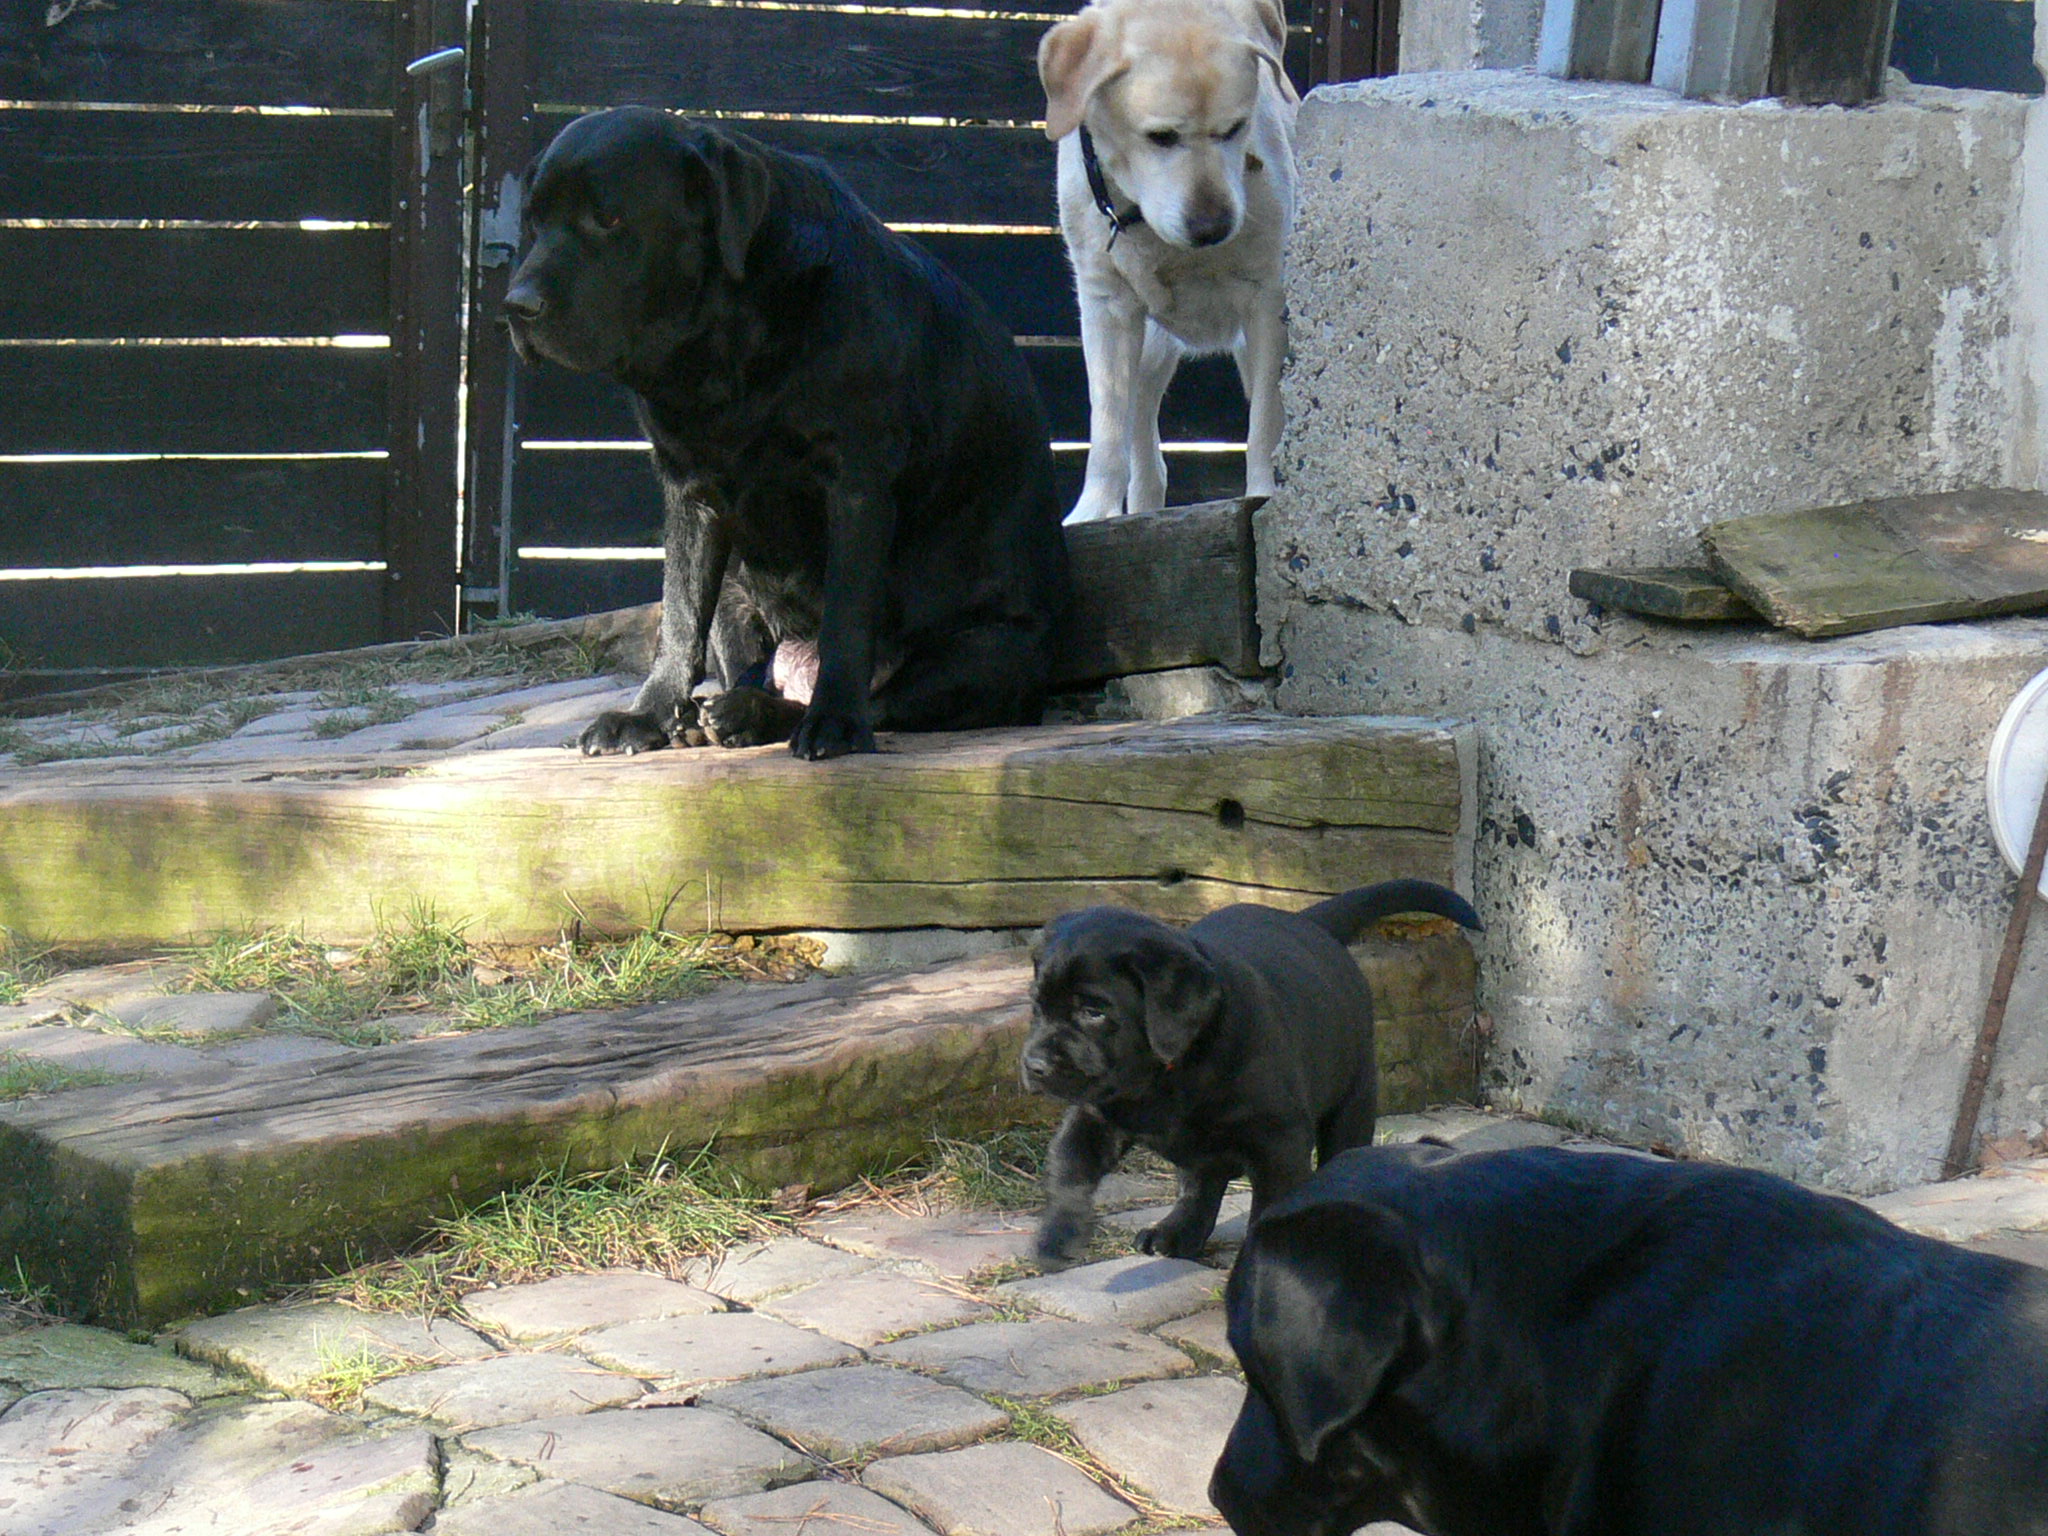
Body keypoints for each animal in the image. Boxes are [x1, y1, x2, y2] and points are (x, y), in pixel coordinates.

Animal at [503, 105, 1073, 761]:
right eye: (534, 220)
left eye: (609, 218)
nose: (516, 305)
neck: (723, 348)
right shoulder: (689, 489)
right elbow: (679, 616)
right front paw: (647, 714)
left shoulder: (856, 483)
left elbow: (846, 620)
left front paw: (835, 723)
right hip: (736, 594)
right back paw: (716, 713)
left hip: (988, 649)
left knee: (883, 699)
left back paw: (767, 713)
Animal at [1019, 884, 1474, 1269]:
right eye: (1037, 1006)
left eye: (1093, 1010)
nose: (1033, 1065)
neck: (1167, 1075)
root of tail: (1308, 921)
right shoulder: (1096, 1115)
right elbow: (1068, 1170)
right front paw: (1056, 1238)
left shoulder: (1279, 1142)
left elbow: (1270, 1210)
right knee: (1199, 1184)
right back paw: (1176, 1232)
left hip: (1352, 1097)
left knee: (1342, 1156)